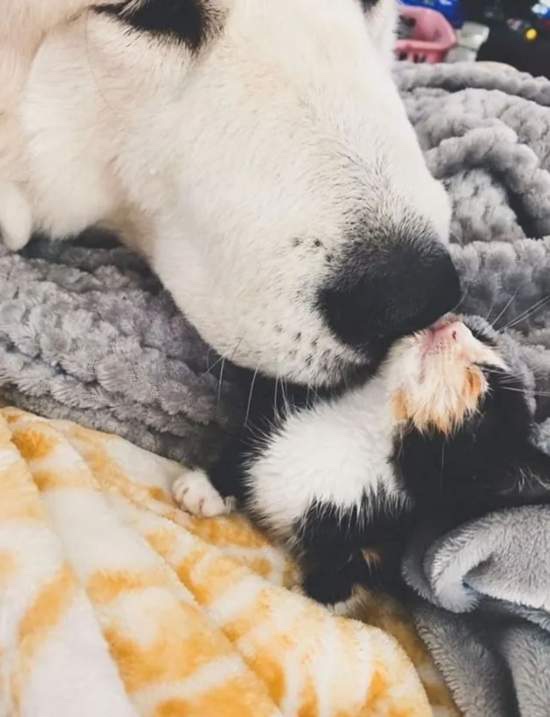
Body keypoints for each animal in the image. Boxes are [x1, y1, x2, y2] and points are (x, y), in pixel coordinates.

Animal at [174, 316, 550, 600]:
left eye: (485, 386)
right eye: (479, 334)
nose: (453, 325)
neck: (365, 429)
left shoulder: (389, 542)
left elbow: (353, 575)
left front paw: (312, 599)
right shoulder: (277, 407)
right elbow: (242, 444)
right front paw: (206, 488)